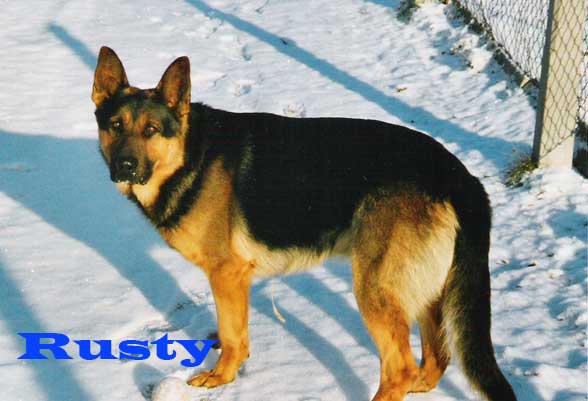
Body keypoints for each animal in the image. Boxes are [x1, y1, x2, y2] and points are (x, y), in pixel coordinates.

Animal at [92, 46, 517, 401]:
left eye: (151, 130)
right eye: (115, 126)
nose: (124, 167)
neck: (189, 156)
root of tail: (458, 174)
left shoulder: (227, 274)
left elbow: (231, 336)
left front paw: (221, 379)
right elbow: (236, 336)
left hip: (375, 289)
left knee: (401, 368)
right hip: (425, 291)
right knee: (435, 359)